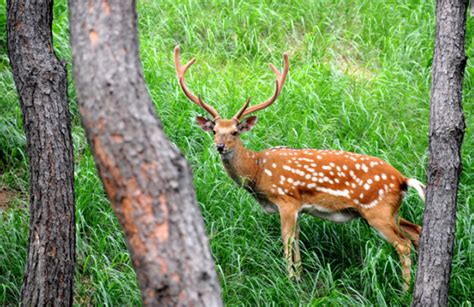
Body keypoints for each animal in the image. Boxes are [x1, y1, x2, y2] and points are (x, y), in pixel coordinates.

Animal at [175, 45, 426, 292]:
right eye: (214, 130)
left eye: (235, 132)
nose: (220, 147)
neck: (257, 171)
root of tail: (402, 179)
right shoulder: (299, 208)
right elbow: (296, 242)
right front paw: (298, 277)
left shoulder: (287, 199)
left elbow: (287, 242)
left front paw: (289, 280)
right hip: (389, 210)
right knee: (416, 230)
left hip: (377, 210)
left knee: (403, 245)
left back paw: (404, 290)